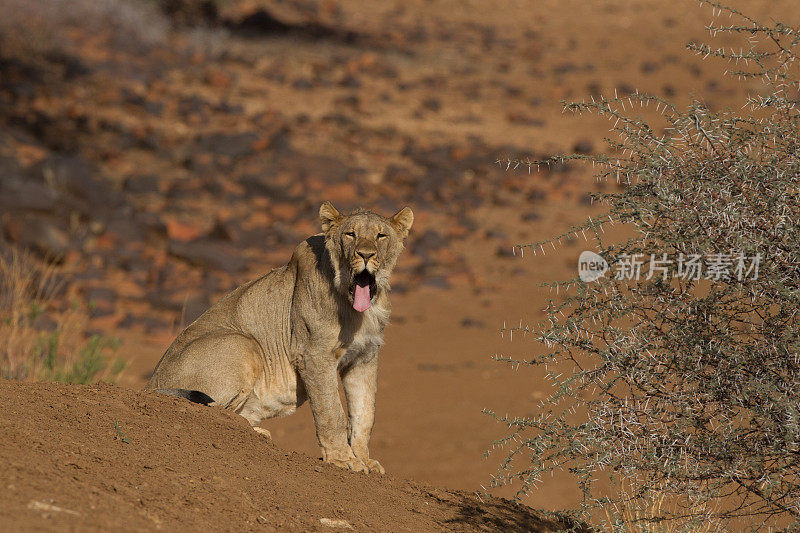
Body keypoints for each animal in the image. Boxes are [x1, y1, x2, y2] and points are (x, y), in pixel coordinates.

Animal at [145, 202, 416, 472]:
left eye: (381, 236)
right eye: (350, 234)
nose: (366, 255)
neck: (358, 310)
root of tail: (149, 386)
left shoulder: (364, 357)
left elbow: (365, 413)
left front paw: (363, 459)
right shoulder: (313, 355)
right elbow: (331, 412)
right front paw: (343, 459)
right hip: (243, 343)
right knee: (214, 410)